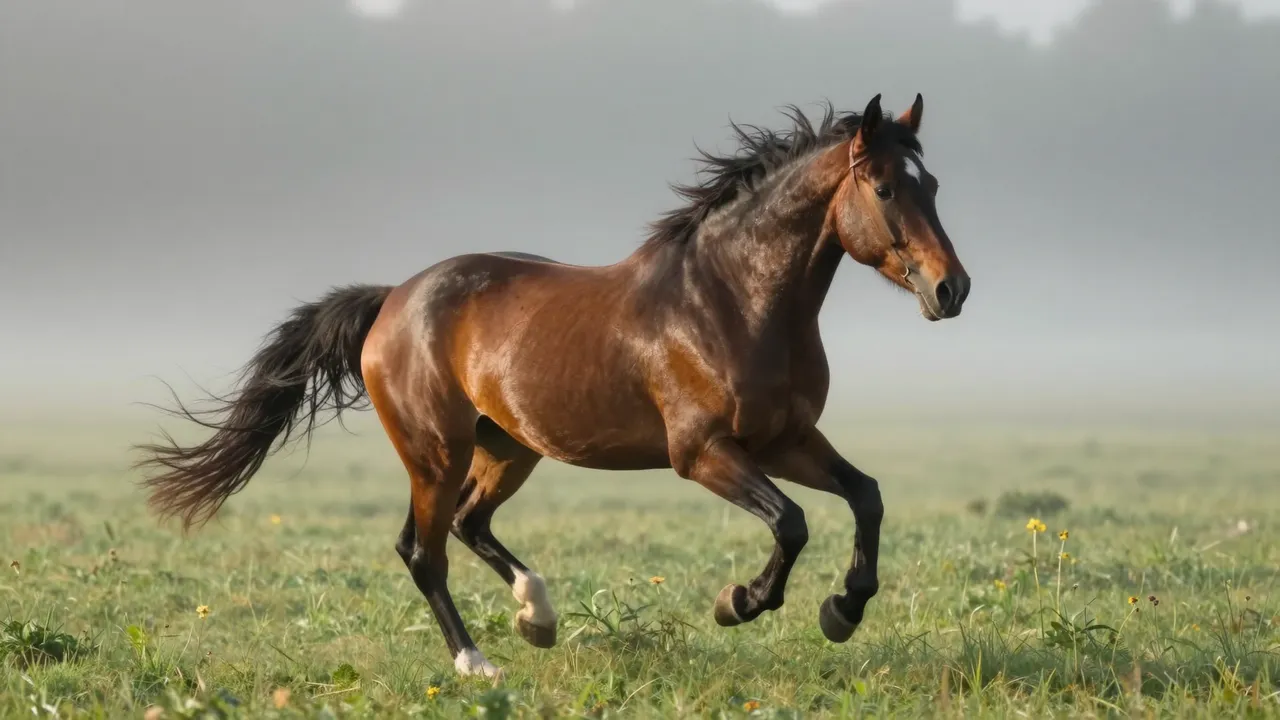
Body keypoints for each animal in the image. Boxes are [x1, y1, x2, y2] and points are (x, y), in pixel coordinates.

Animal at [135, 93, 970, 678]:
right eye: (886, 189)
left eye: (932, 183)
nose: (951, 289)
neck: (732, 300)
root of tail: (395, 298)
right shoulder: (702, 453)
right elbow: (791, 523)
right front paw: (740, 603)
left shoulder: (786, 439)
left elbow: (866, 496)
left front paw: (842, 610)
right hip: (434, 451)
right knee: (422, 549)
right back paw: (477, 664)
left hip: (508, 448)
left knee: (468, 524)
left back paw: (536, 615)